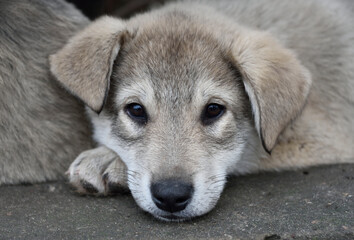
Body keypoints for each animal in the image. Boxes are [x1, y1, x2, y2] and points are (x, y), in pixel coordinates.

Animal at [50, 0, 354, 221]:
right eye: (135, 109)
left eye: (213, 110)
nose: (171, 196)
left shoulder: (324, 138)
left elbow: (251, 154)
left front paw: (108, 160)